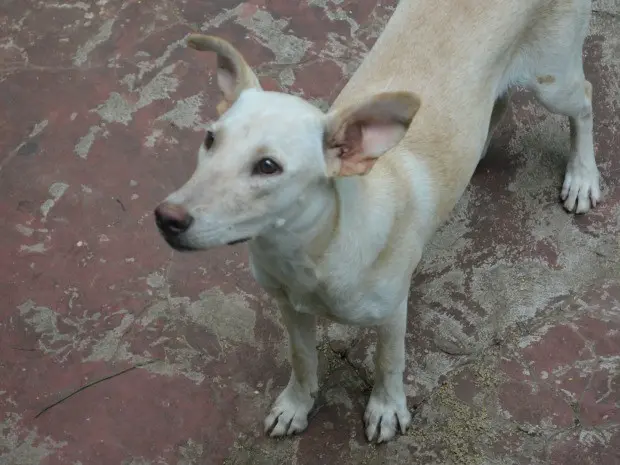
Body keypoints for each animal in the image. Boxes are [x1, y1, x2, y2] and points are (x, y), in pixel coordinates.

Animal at [154, 0, 600, 442]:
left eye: (268, 166)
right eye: (210, 139)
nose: (165, 218)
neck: (312, 249)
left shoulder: (391, 311)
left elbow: (389, 361)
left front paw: (386, 409)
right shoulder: (290, 307)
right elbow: (302, 359)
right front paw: (296, 406)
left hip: (553, 79)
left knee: (585, 100)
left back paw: (582, 176)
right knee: (498, 103)